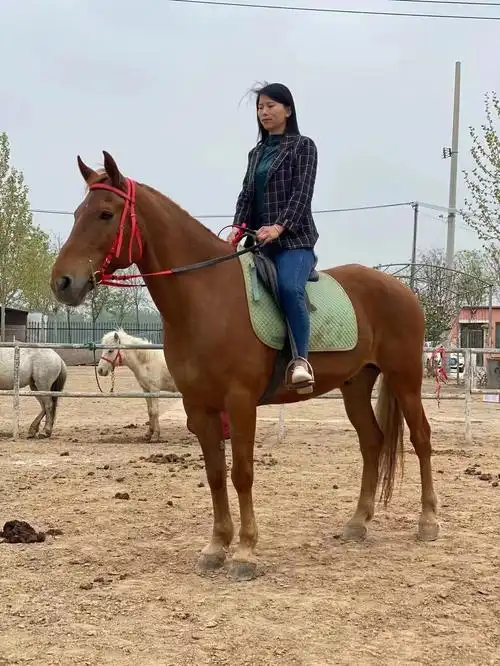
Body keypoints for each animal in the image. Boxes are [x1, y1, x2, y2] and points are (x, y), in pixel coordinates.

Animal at [50, 151, 439, 581]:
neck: (205, 298)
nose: (63, 282)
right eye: (77, 213)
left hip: (406, 379)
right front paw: (216, 547)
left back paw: (428, 522)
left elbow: (242, 473)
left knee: (421, 438)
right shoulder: (199, 406)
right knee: (372, 442)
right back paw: (358, 523)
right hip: (355, 385)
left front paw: (246, 553)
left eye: (105, 213)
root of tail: (402, 288)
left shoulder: (239, 403)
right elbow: (215, 475)